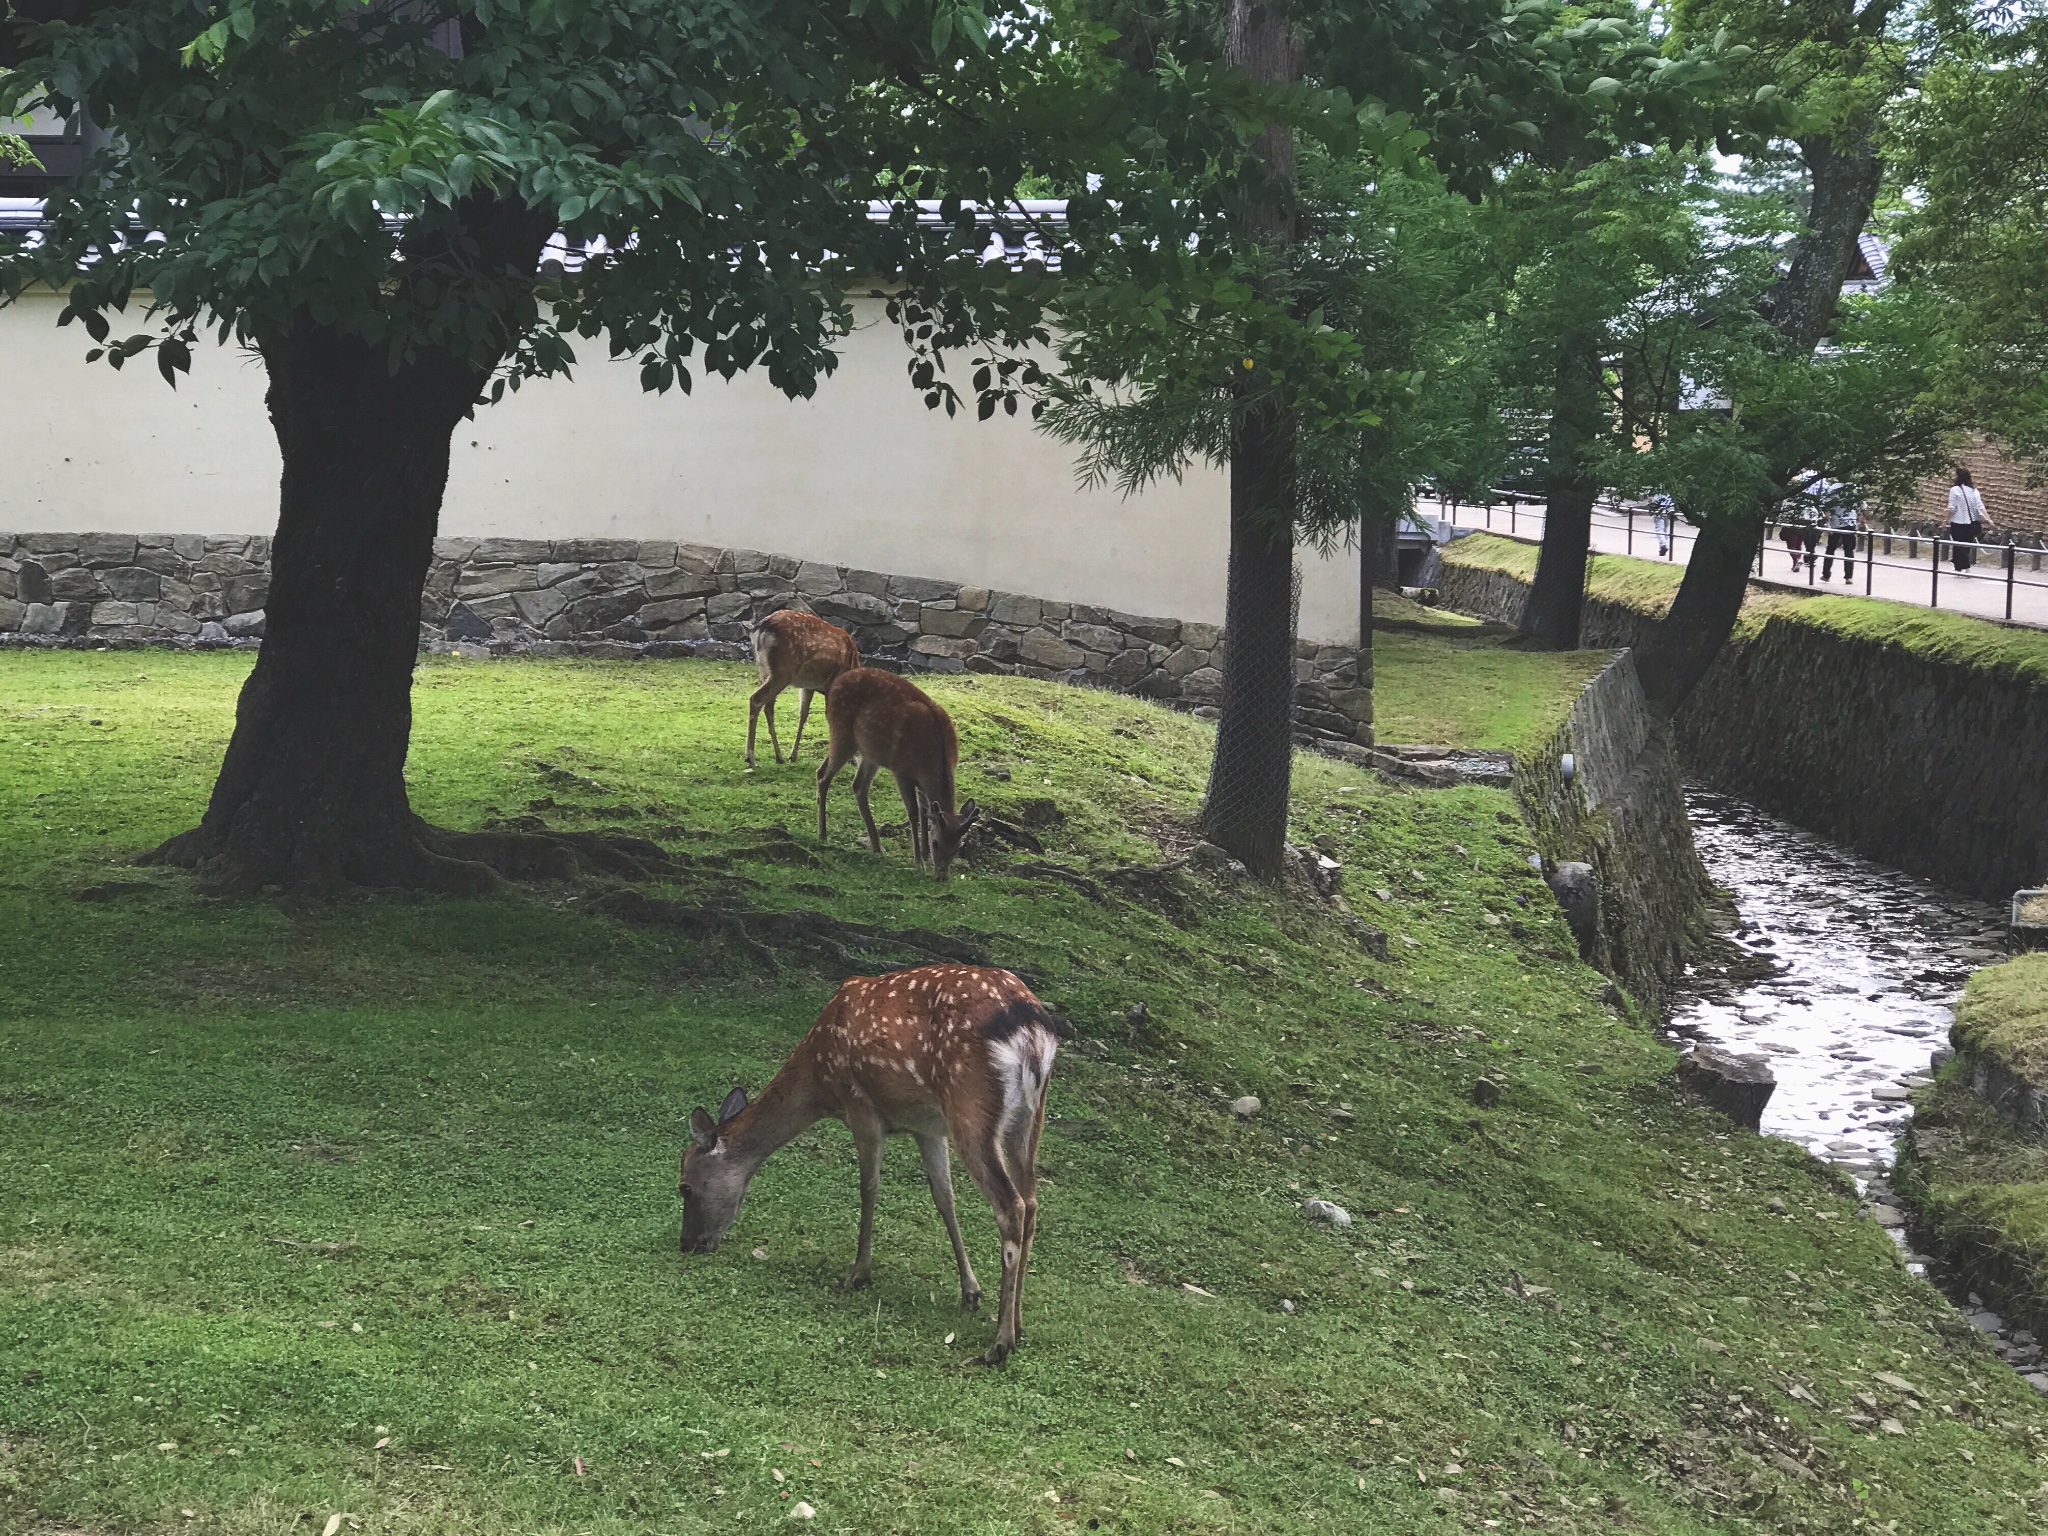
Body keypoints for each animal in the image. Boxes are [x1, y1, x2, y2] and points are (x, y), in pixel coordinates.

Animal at [684, 966, 1064, 1368]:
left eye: (685, 1186)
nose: (687, 1243)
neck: (820, 1081)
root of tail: (1032, 1029)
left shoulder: (860, 1105)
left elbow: (868, 1187)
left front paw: (859, 1273)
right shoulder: (926, 1126)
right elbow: (944, 1198)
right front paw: (970, 1291)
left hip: (970, 1108)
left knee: (1011, 1205)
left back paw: (1000, 1343)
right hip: (1029, 1118)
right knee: (1032, 1203)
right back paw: (1018, 1324)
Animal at [745, 610, 856, 770]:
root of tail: (762, 628)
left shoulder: (808, 686)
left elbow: (803, 714)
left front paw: (793, 755)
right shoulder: (834, 683)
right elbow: (830, 717)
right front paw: (849, 759)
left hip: (764, 671)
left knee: (768, 707)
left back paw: (779, 756)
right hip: (782, 671)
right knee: (756, 699)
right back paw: (751, 758)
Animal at [811, 671, 978, 876]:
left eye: (958, 847)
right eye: (936, 843)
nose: (941, 876)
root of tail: (837, 682)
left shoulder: (920, 781)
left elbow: (925, 812)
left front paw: (924, 855)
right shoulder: (902, 771)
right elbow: (913, 812)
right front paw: (919, 861)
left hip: (870, 753)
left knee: (857, 786)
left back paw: (877, 846)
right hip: (842, 733)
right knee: (823, 775)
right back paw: (822, 834)